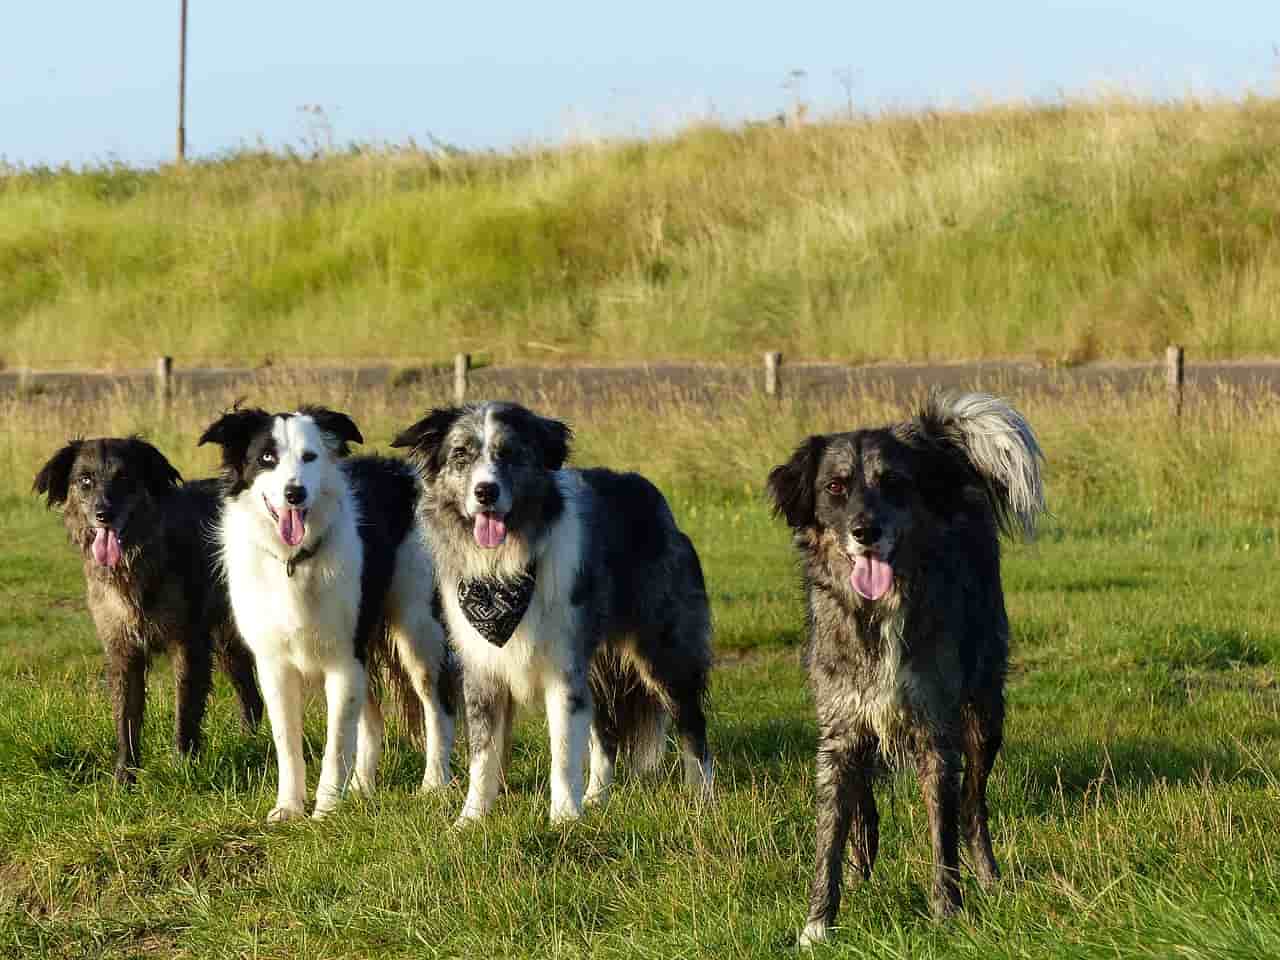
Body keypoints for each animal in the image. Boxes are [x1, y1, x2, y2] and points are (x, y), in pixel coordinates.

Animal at [33, 440, 262, 783]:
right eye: (85, 480)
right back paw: (251, 743)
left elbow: (185, 710)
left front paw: (184, 765)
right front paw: (124, 779)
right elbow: (126, 718)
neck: (135, 564)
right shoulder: (122, 650)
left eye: (125, 477)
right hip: (226, 641)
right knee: (251, 697)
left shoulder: (187, 644)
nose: (104, 514)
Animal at [197, 401, 458, 824]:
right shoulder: (276, 667)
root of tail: (406, 474)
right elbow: (288, 744)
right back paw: (363, 789)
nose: (294, 493)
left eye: (310, 457)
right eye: (266, 458)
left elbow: (335, 744)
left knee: (438, 708)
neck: (295, 561)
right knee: (373, 719)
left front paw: (326, 810)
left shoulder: (342, 662)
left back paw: (434, 784)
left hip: (419, 632)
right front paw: (289, 808)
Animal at [389, 401, 716, 824]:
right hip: (596, 665)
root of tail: (654, 500)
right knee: (605, 732)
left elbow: (562, 750)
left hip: (662, 650)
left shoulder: (563, 670)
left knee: (692, 722)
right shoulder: (482, 671)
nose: (485, 491)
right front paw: (470, 820)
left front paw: (563, 819)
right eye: (461, 455)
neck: (503, 570)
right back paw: (596, 797)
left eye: (509, 453)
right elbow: (482, 754)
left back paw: (703, 797)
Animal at [762, 391, 1044, 947]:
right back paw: (862, 856)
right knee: (863, 798)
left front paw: (947, 911)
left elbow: (943, 834)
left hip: (985, 713)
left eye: (892, 481)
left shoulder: (937, 732)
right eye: (835, 487)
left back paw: (988, 876)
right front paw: (817, 923)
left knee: (973, 807)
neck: (877, 616)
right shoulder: (840, 728)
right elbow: (829, 831)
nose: (865, 531)